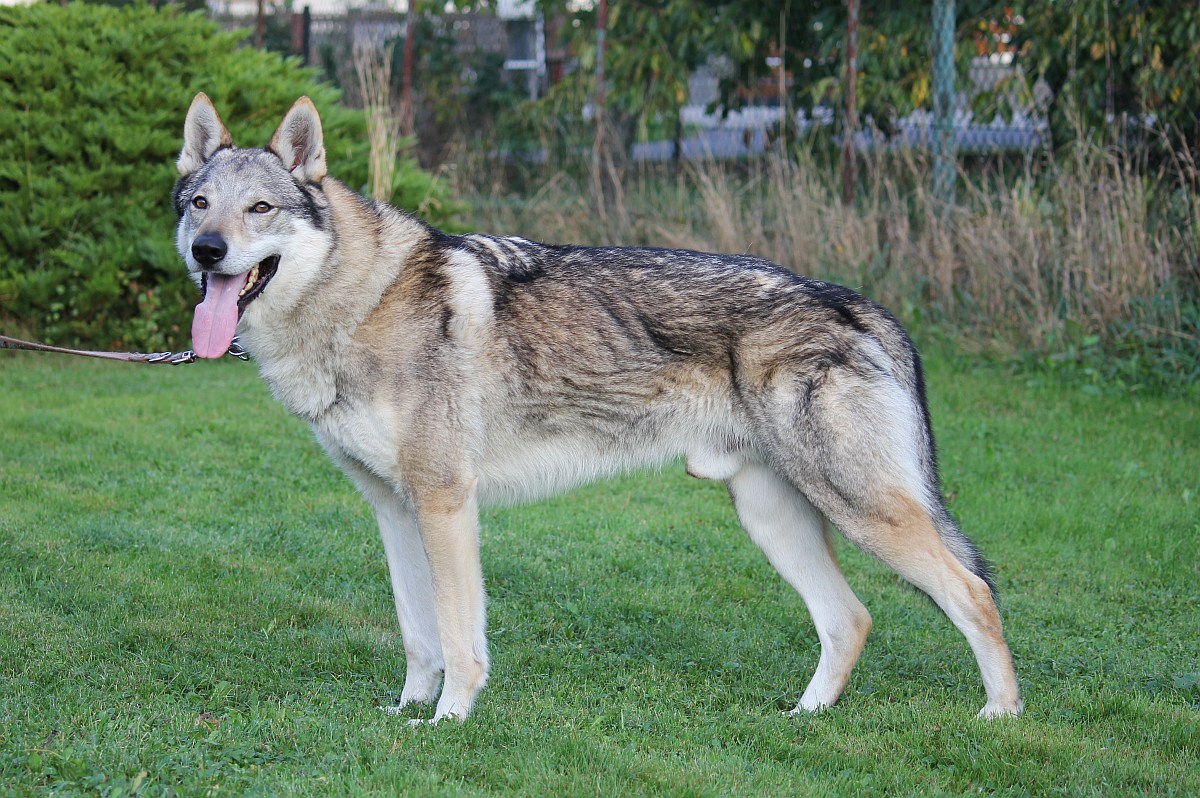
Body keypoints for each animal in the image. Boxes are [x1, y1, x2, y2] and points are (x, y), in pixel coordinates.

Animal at [175, 94, 1022, 720]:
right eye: (200, 203)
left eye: (259, 208)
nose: (207, 251)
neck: (361, 301)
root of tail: (851, 301)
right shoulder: (393, 510)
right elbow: (418, 635)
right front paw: (405, 711)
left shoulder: (446, 504)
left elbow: (458, 637)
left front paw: (448, 720)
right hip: (772, 516)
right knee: (851, 619)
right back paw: (804, 717)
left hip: (861, 510)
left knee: (974, 593)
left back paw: (1001, 719)